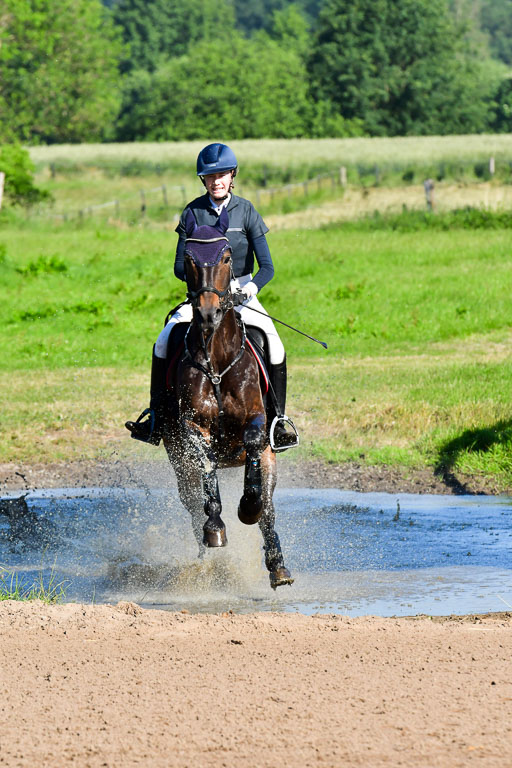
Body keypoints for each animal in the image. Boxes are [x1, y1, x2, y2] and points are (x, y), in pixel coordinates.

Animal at [162, 207, 294, 592]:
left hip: (270, 457)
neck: (218, 362)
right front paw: (216, 527)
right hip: (180, 467)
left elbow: (252, 448)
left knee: (268, 506)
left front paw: (246, 507)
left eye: (226, 256)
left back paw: (278, 566)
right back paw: (209, 561)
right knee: (193, 507)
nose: (208, 313)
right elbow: (207, 469)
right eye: (190, 258)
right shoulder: (192, 428)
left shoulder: (257, 422)